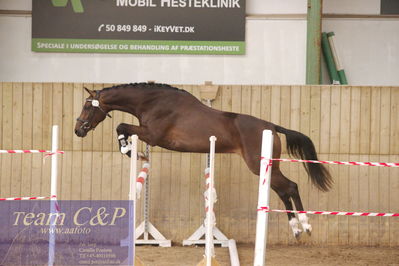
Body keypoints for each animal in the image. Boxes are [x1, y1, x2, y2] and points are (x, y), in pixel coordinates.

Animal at [73, 82, 332, 238]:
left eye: (87, 106)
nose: (78, 130)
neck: (152, 102)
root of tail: (271, 126)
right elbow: (123, 127)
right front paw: (133, 151)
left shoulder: (153, 135)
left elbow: (121, 126)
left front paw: (131, 151)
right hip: (266, 167)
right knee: (283, 190)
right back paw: (297, 228)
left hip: (258, 165)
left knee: (290, 187)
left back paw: (304, 226)